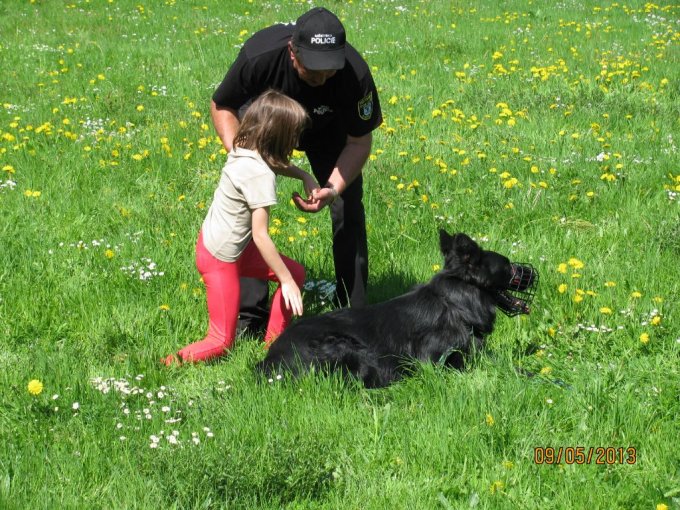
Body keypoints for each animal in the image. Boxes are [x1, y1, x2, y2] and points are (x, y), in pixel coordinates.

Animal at [258, 229, 540, 388]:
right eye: (508, 266)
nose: (534, 275)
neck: (455, 306)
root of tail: (267, 364)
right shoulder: (434, 361)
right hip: (346, 348)